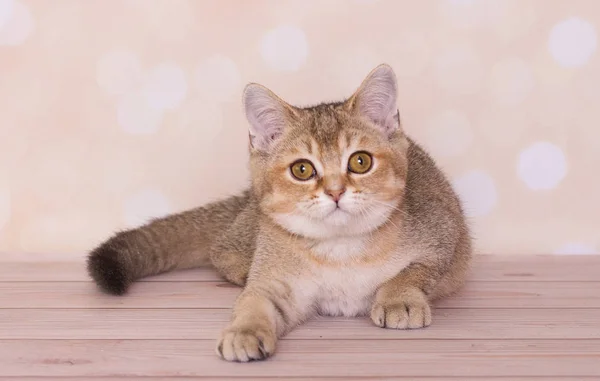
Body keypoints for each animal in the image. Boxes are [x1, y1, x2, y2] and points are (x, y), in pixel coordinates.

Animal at [88, 64, 474, 362]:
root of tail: (249, 199)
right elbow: (255, 302)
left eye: (360, 162)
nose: (335, 192)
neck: (341, 250)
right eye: (302, 170)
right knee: (221, 250)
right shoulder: (277, 284)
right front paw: (244, 331)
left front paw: (399, 299)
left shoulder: (445, 236)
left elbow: (413, 272)